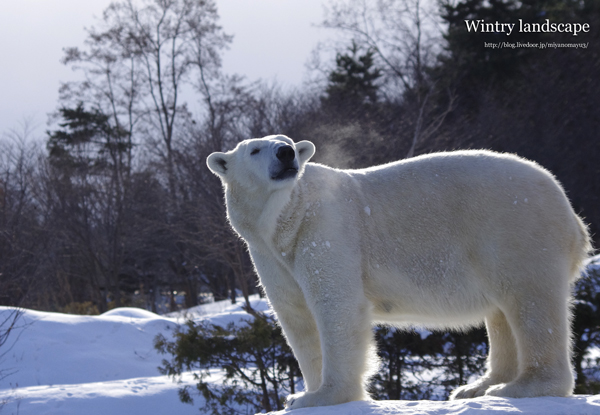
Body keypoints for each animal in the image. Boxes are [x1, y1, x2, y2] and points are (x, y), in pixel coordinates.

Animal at [206, 136, 592, 410]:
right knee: (501, 312)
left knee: (529, 300)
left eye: (286, 141)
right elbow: (296, 317)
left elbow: (336, 307)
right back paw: (476, 387)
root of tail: (571, 215)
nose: (286, 153)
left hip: (514, 228)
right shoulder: (270, 255)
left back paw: (520, 386)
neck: (288, 216)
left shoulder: (325, 230)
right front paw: (305, 394)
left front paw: (323, 396)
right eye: (255, 149)